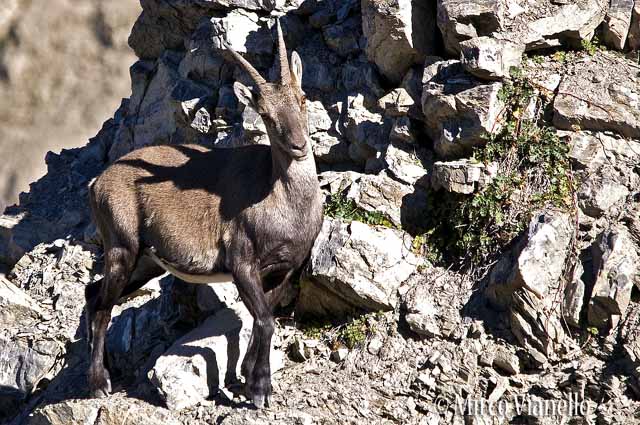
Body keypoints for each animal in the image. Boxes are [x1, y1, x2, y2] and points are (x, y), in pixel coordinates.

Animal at [84, 22, 324, 409]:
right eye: (266, 116)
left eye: (302, 99)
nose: (299, 145)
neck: (283, 203)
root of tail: (97, 184)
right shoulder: (242, 263)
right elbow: (265, 320)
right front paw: (260, 389)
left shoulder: (284, 269)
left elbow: (263, 317)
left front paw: (247, 377)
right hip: (122, 248)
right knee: (104, 307)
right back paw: (97, 383)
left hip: (145, 262)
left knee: (93, 295)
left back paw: (100, 371)